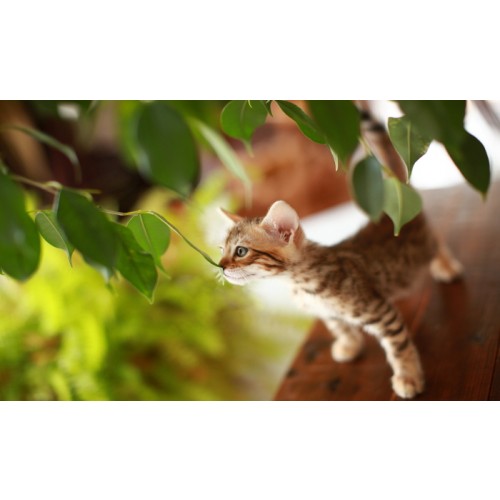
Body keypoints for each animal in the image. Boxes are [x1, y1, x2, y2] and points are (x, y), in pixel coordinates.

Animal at [218, 104, 464, 399]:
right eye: (221, 249)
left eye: (241, 251)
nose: (220, 266)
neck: (298, 283)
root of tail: (394, 207)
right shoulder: (328, 314)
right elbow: (340, 327)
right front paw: (349, 345)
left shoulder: (380, 312)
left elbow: (399, 346)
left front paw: (408, 377)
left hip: (425, 241)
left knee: (438, 241)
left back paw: (446, 266)